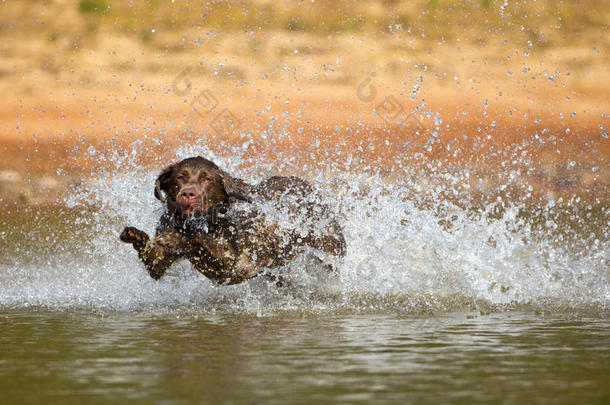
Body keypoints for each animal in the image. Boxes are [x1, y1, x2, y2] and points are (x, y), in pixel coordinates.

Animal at [120, 156, 346, 282]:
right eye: (180, 177)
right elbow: (154, 259)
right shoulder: (158, 263)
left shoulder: (236, 266)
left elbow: (197, 238)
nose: (188, 194)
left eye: (206, 179)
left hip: (330, 251)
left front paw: (176, 237)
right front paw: (134, 234)